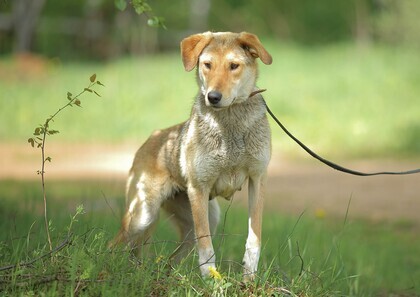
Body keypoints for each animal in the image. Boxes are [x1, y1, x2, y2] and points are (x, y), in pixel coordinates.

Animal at [109, 31, 272, 278]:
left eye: (234, 65)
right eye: (207, 65)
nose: (213, 97)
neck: (230, 127)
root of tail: (153, 137)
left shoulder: (257, 180)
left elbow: (255, 238)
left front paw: (249, 278)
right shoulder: (199, 188)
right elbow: (206, 247)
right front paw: (212, 280)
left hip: (202, 218)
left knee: (170, 260)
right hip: (143, 215)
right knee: (113, 246)